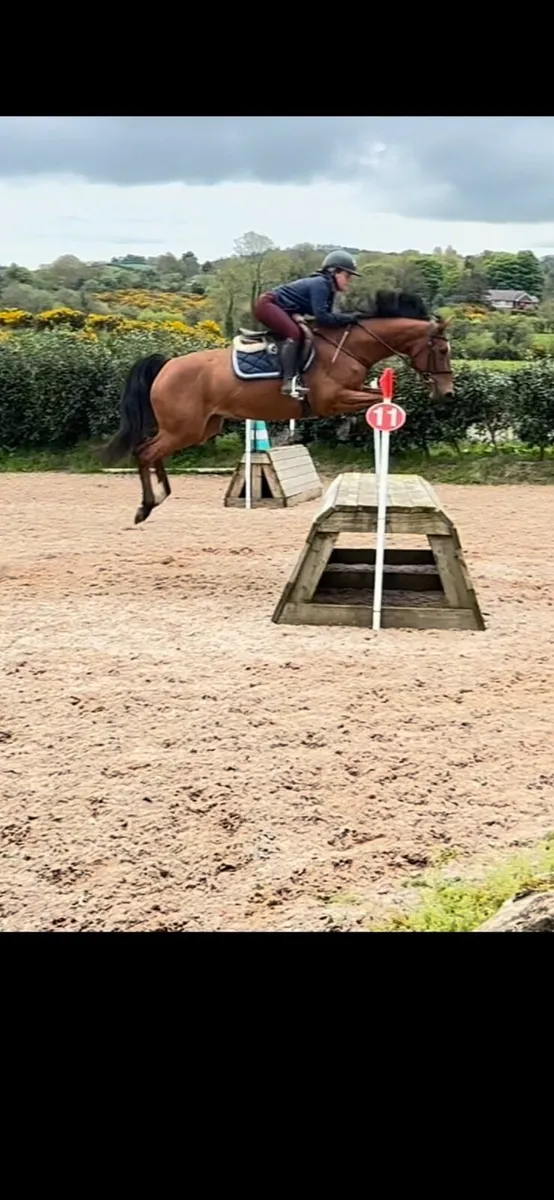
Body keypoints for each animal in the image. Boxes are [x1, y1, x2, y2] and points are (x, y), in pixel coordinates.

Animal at [100, 289, 453, 525]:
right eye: (442, 350)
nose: (447, 393)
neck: (351, 347)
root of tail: (167, 365)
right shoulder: (332, 398)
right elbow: (373, 400)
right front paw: (346, 428)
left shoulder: (349, 391)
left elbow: (376, 396)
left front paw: (351, 427)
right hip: (183, 428)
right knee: (145, 451)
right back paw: (146, 506)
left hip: (199, 428)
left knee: (153, 452)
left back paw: (160, 497)